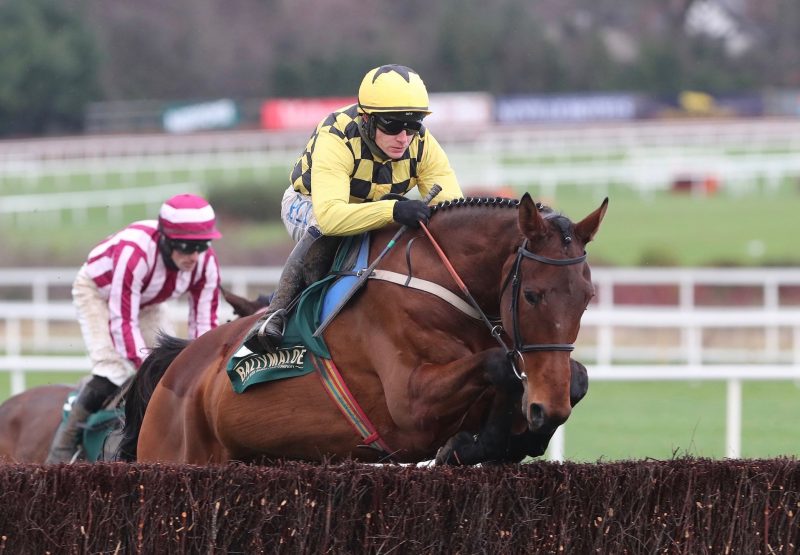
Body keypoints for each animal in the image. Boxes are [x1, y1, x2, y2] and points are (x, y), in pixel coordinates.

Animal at [120, 194, 608, 464]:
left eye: (587, 297)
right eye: (533, 296)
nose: (549, 407)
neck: (439, 285)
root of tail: (177, 365)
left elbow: (574, 378)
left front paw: (513, 435)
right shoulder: (411, 405)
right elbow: (499, 365)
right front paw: (468, 445)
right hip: (174, 454)